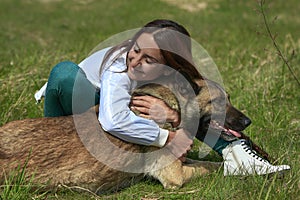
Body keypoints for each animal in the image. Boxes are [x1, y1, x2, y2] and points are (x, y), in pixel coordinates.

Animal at [0, 78, 255, 194]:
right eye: (219, 101)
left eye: (229, 98)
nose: (247, 122)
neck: (172, 108)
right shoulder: (176, 176)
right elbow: (209, 167)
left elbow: (207, 162)